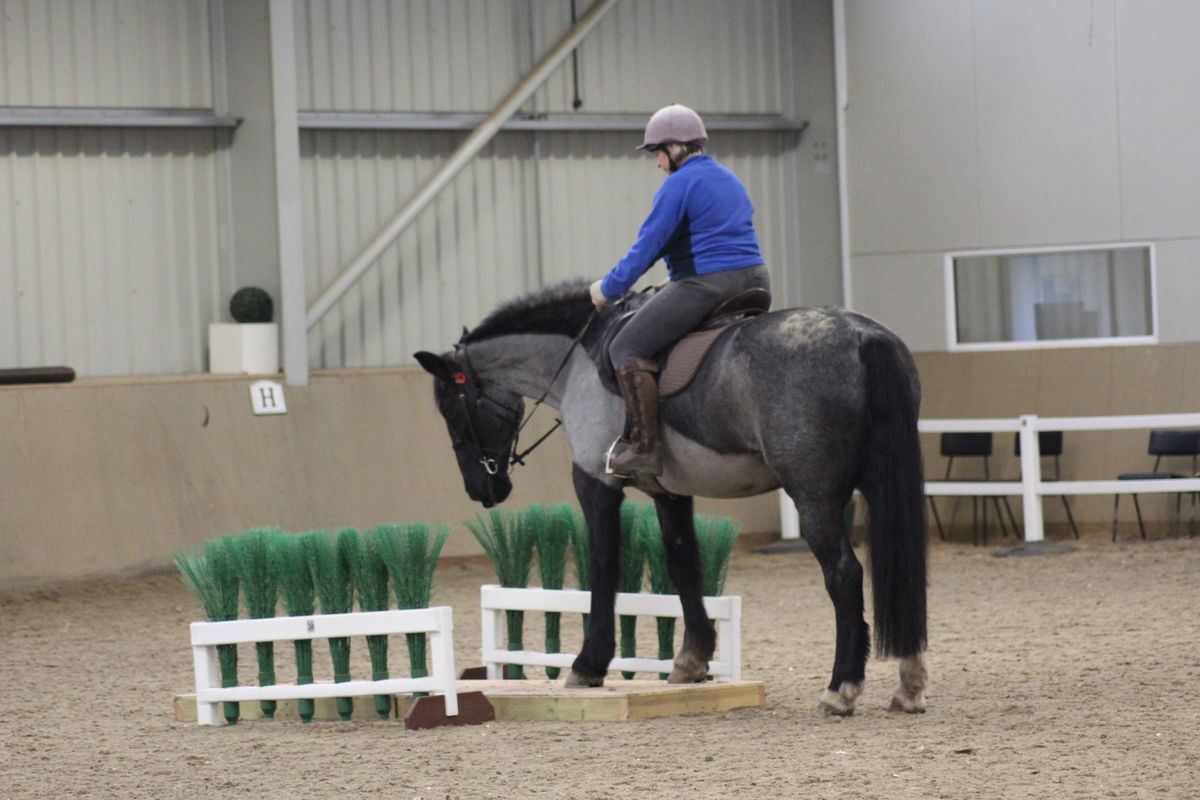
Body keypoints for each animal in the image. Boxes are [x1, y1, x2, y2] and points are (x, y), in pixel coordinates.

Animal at [412, 280, 926, 714]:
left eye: (451, 409)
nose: (483, 489)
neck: (581, 359)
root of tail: (864, 336)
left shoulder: (595, 485)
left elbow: (603, 566)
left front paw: (588, 665)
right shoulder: (671, 494)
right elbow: (684, 564)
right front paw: (692, 661)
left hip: (814, 497)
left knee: (843, 575)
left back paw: (841, 688)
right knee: (903, 571)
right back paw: (909, 685)